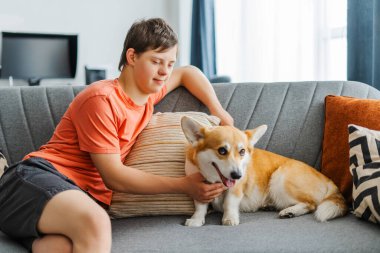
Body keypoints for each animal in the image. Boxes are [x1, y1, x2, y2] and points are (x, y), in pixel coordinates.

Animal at [181, 115, 348, 226]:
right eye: (222, 151)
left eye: (242, 151)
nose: (238, 175)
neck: (216, 179)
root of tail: (329, 180)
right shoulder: (200, 189)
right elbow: (200, 206)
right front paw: (196, 220)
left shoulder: (235, 190)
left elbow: (229, 202)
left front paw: (230, 219)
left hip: (279, 179)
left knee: (311, 204)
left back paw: (290, 212)